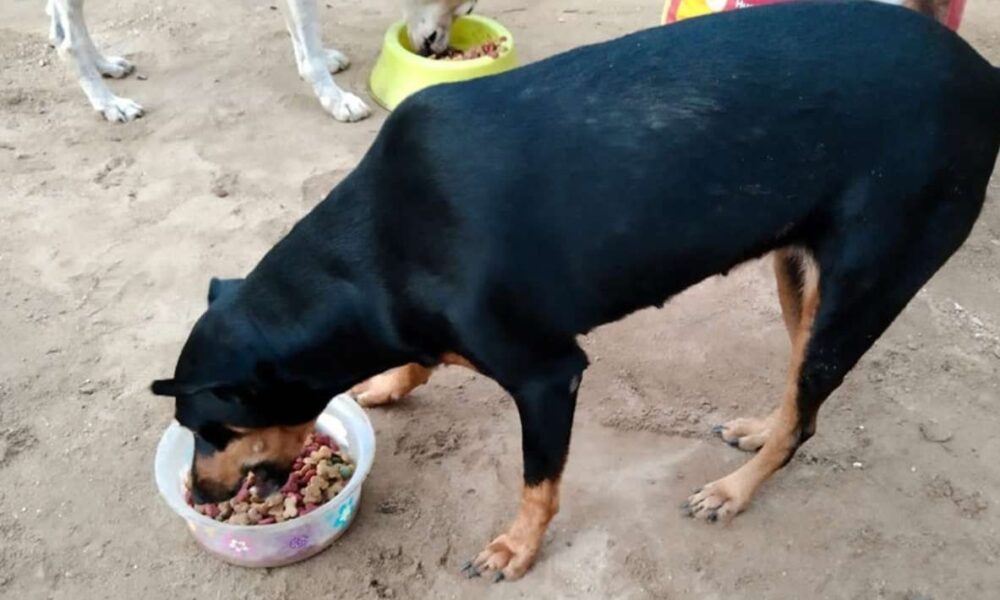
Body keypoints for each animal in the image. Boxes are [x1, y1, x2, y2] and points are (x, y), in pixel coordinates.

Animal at [150, 0, 1000, 580]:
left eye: (218, 430)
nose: (201, 493)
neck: (384, 240)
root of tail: (983, 77)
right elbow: (419, 357)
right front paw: (393, 381)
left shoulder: (547, 376)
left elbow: (538, 481)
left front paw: (516, 549)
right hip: (800, 270)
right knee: (798, 395)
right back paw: (761, 429)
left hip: (865, 285)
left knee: (809, 415)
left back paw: (736, 488)